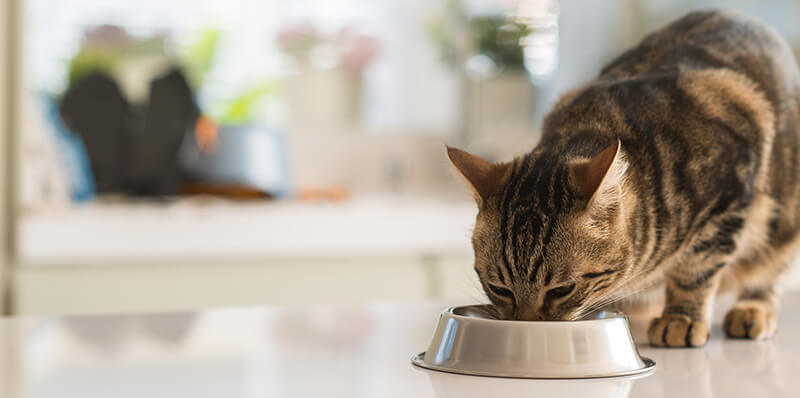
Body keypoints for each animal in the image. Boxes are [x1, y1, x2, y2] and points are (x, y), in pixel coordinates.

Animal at [446, 8, 800, 346]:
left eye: (561, 290)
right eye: (500, 288)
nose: (526, 326)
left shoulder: (728, 193)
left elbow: (695, 269)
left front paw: (681, 318)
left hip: (783, 225)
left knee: (767, 272)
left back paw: (753, 309)